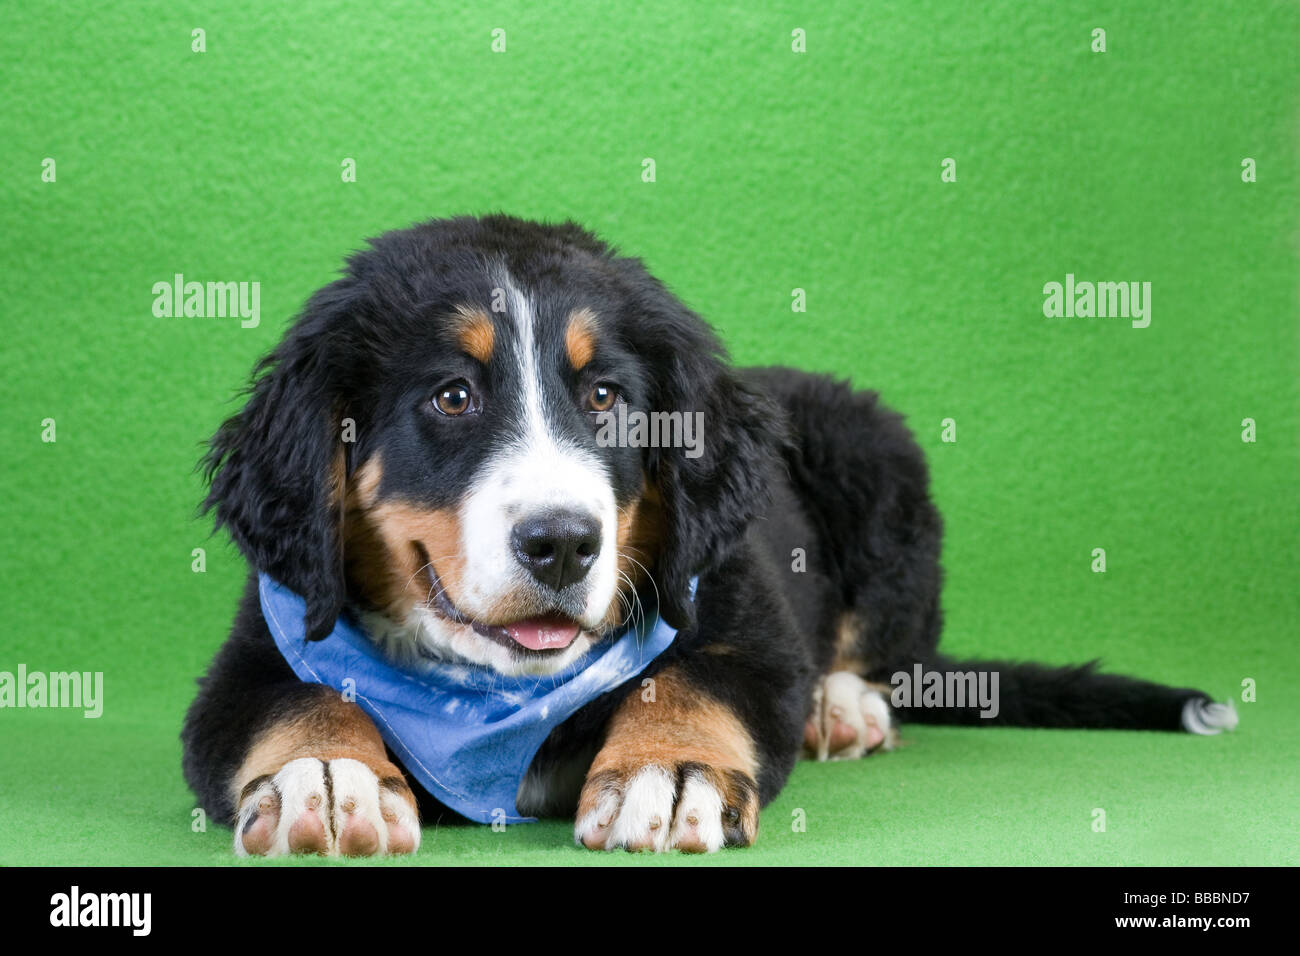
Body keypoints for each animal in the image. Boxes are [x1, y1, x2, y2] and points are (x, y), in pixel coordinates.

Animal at [178, 213, 1232, 858]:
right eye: (452, 397)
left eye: (607, 397)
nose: (564, 544)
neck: (493, 701)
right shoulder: (259, 650)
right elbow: (301, 698)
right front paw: (329, 773)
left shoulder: (737, 610)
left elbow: (694, 679)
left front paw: (669, 771)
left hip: (877, 460)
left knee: (883, 655)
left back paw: (844, 708)